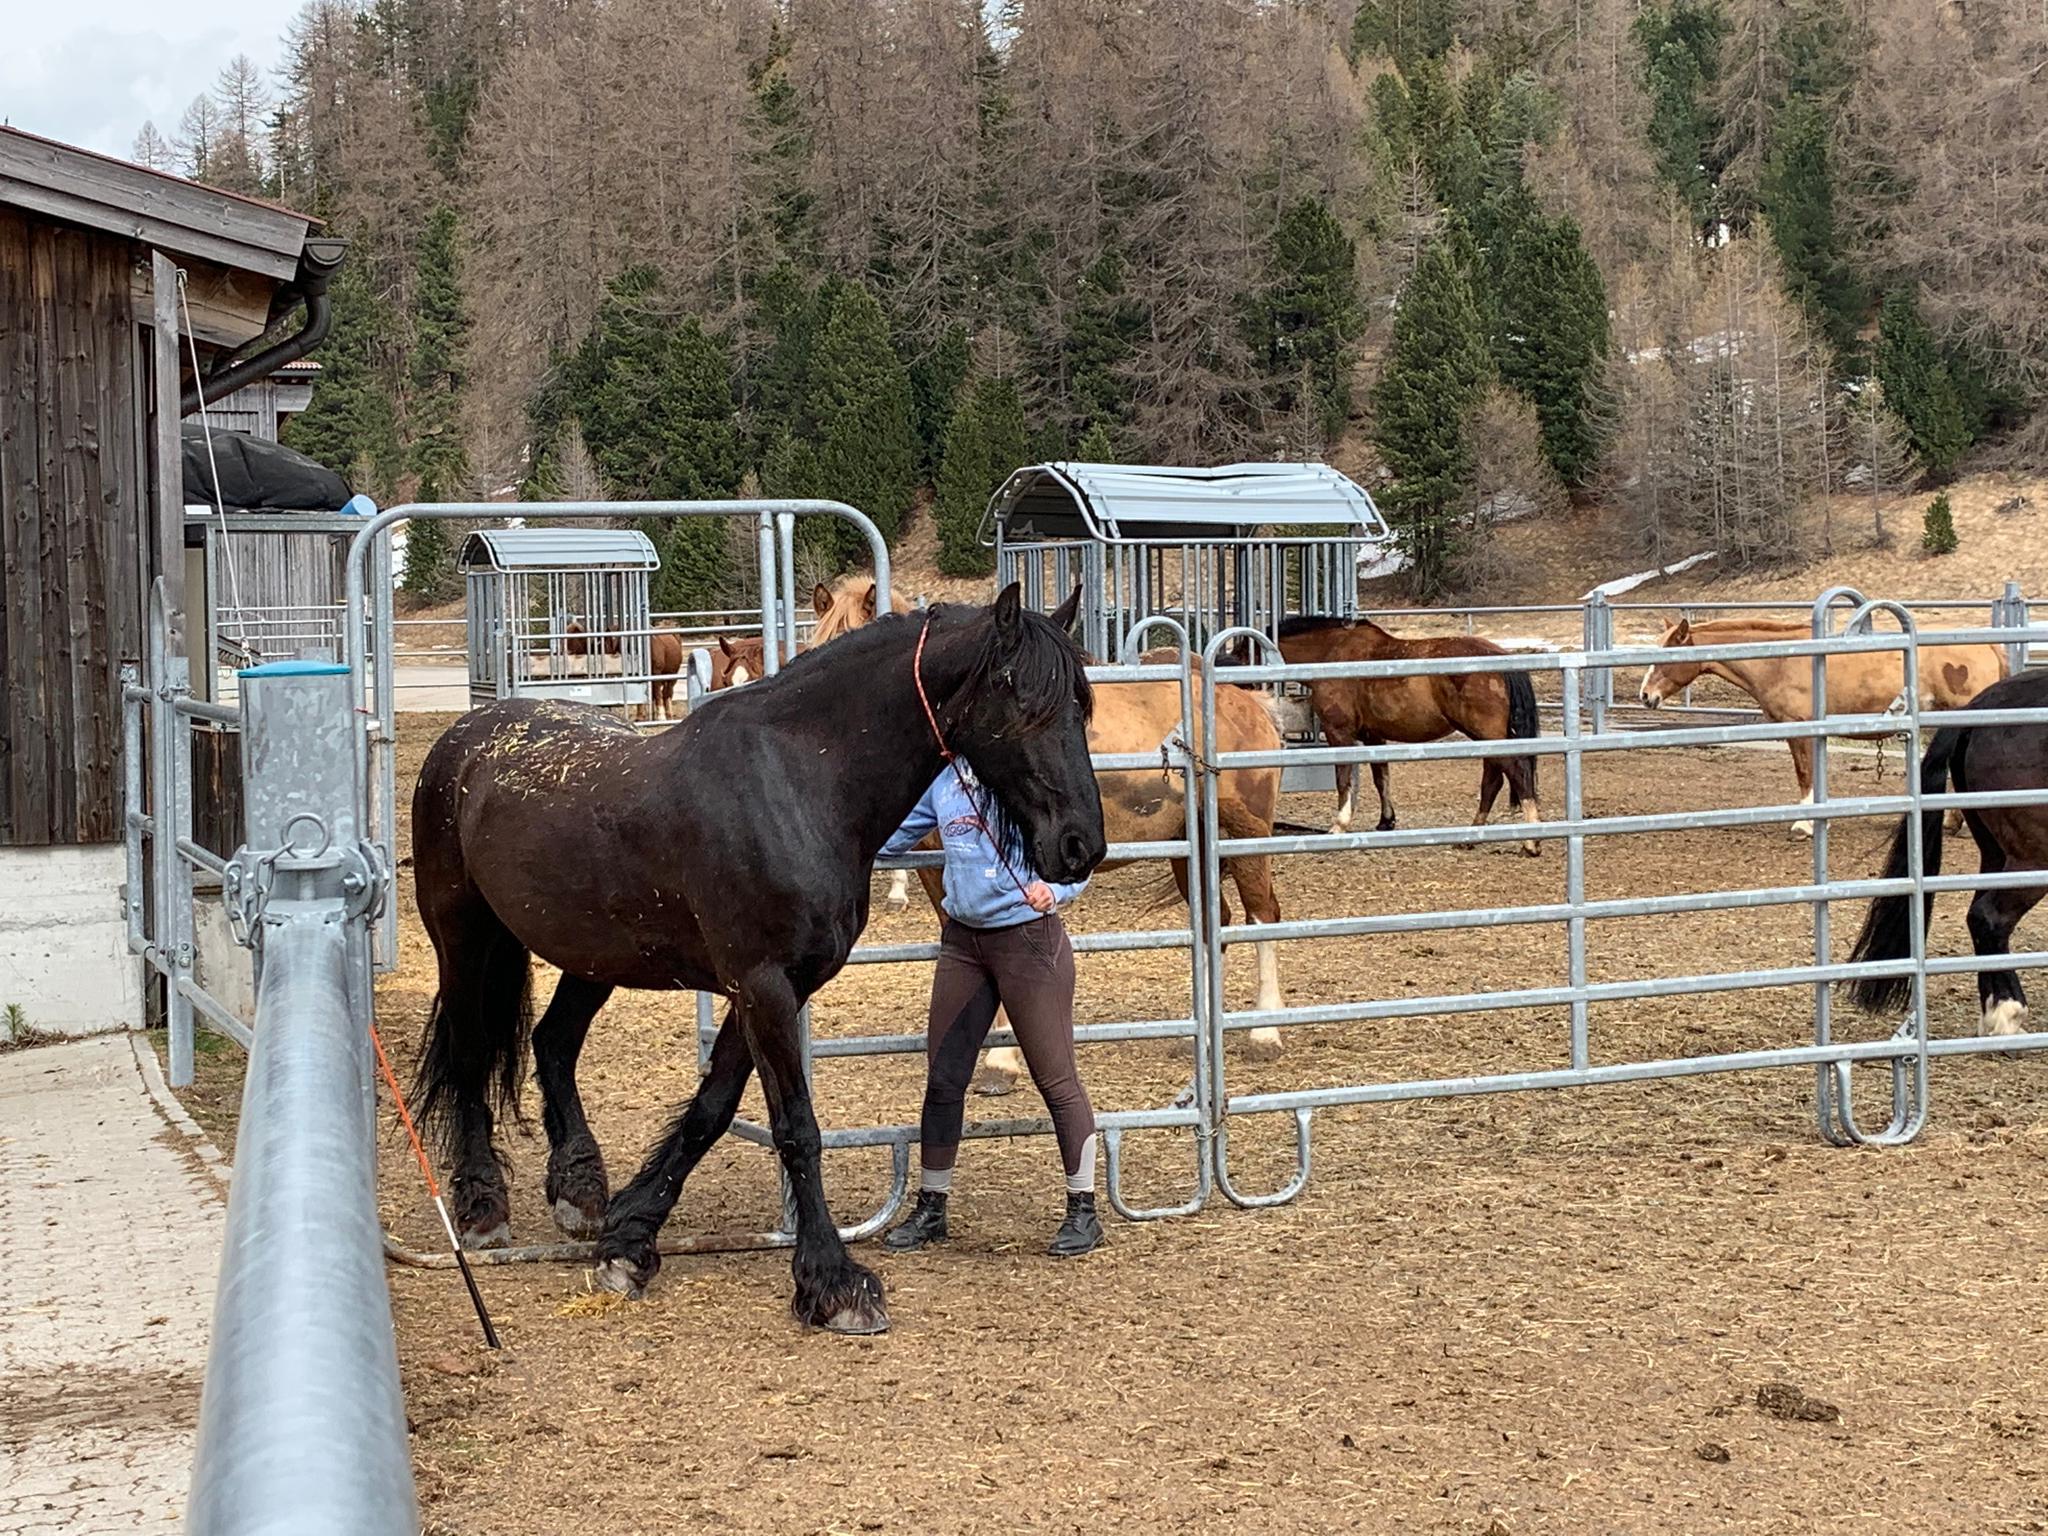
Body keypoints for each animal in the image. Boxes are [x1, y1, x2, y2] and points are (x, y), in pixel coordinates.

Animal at [405, 589, 1097, 1335]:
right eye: (1022, 700)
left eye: (1081, 704)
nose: (1081, 844)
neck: (798, 780)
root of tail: (467, 734)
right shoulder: (763, 985)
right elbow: (796, 1128)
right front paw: (834, 1283)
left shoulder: (770, 988)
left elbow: (710, 1111)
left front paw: (630, 1239)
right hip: (464, 939)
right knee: (469, 1057)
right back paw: (482, 1205)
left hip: (594, 956)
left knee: (552, 1042)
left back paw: (579, 1189)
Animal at [1269, 618, 1540, 860]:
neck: (1332, 652)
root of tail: (1501, 658)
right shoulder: (1374, 736)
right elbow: (1381, 777)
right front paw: (1386, 821)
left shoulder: (1340, 733)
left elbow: (1343, 779)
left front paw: (1339, 825)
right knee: (1492, 781)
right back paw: (1471, 838)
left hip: (1487, 735)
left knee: (1517, 774)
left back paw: (1530, 844)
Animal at [1638, 618, 2007, 843]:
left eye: (1669, 656)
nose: (1645, 696)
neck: (1779, 661)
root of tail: (1987, 646)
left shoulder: (1799, 728)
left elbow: (1804, 775)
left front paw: (1802, 826)